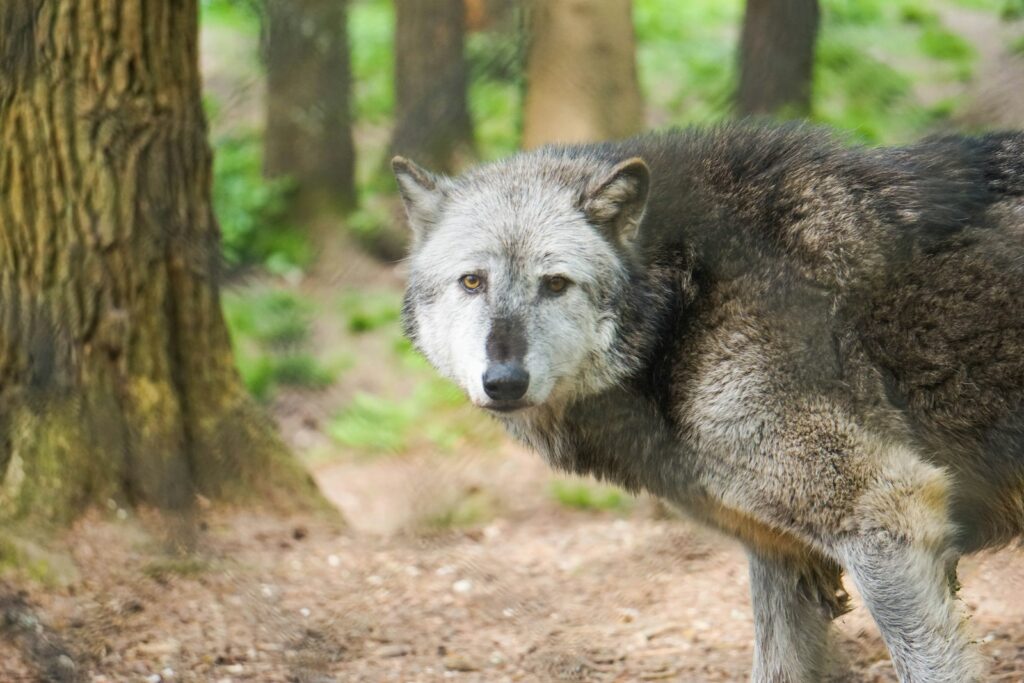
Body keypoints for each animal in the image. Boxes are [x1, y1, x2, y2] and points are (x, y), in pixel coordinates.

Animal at [392, 123, 1024, 682]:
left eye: (555, 284)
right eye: (472, 282)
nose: (503, 380)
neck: (685, 302)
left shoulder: (889, 515)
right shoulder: (781, 555)